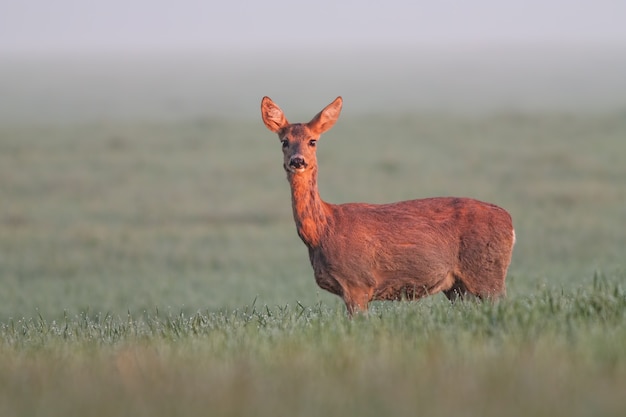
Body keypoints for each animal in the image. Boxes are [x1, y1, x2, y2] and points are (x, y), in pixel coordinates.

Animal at [258, 96, 512, 314]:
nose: (297, 161)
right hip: (458, 286)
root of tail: (509, 221)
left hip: (488, 272)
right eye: (284, 142)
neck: (322, 232)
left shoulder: (357, 281)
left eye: (312, 141)